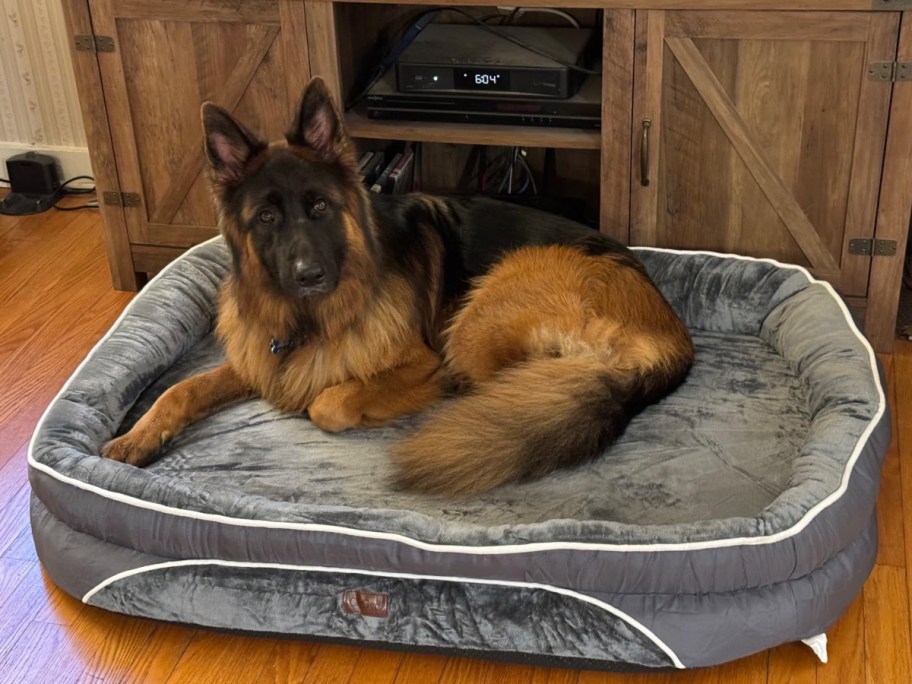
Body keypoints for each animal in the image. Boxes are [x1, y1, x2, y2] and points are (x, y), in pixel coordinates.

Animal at [100, 79, 696, 496]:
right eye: (266, 217)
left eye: (320, 207)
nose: (308, 275)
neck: (315, 316)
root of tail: (670, 333)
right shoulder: (259, 361)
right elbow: (181, 389)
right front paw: (137, 437)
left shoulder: (417, 362)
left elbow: (328, 402)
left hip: (479, 320)